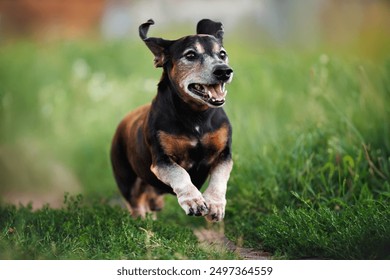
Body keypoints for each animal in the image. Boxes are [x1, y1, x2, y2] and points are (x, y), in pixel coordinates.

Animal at [109, 18, 233, 222]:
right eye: (190, 55)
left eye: (222, 54)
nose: (224, 71)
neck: (196, 116)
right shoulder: (161, 160)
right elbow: (179, 173)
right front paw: (193, 201)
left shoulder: (224, 154)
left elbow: (219, 176)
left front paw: (215, 204)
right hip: (127, 180)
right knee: (136, 202)